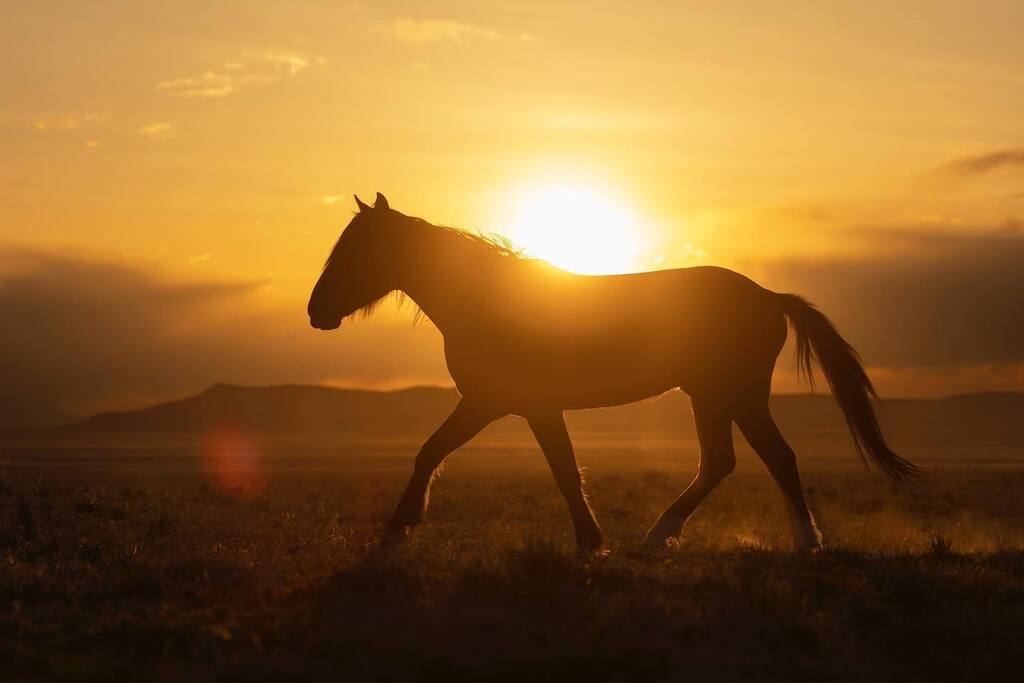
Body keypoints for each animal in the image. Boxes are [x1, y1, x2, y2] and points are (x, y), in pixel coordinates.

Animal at [307, 193, 917, 557]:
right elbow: (553, 467)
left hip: (739, 393)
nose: (316, 312)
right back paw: (660, 536)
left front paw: (399, 525)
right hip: (708, 395)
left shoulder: (496, 402)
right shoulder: (523, 407)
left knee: (777, 458)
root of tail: (768, 296)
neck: (486, 301)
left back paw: (803, 542)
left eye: (359, 251)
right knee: (721, 461)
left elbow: (440, 453)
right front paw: (591, 540)